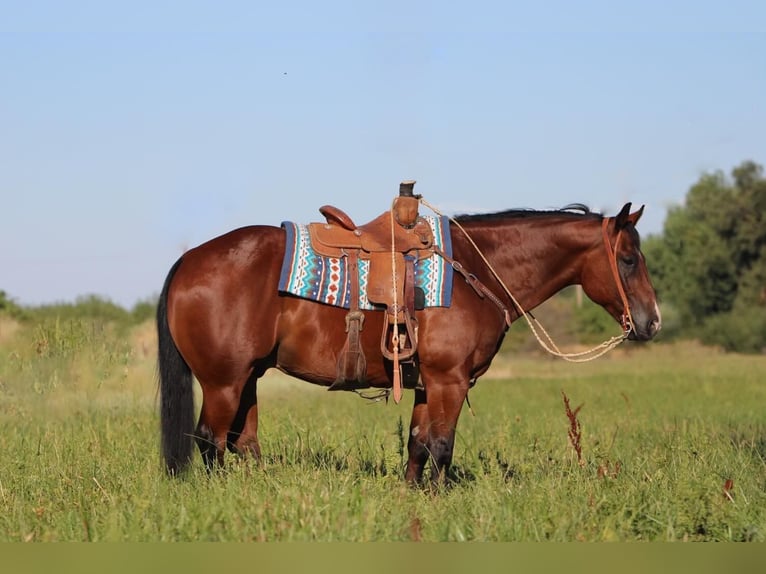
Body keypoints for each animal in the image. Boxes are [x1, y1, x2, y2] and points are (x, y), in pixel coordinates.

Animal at [156, 202, 660, 486]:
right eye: (628, 259)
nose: (652, 321)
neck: (476, 267)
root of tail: (187, 260)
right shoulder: (449, 382)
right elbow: (441, 445)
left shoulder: (425, 385)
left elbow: (418, 446)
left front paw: (413, 497)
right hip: (223, 382)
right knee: (210, 440)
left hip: (248, 379)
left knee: (242, 442)